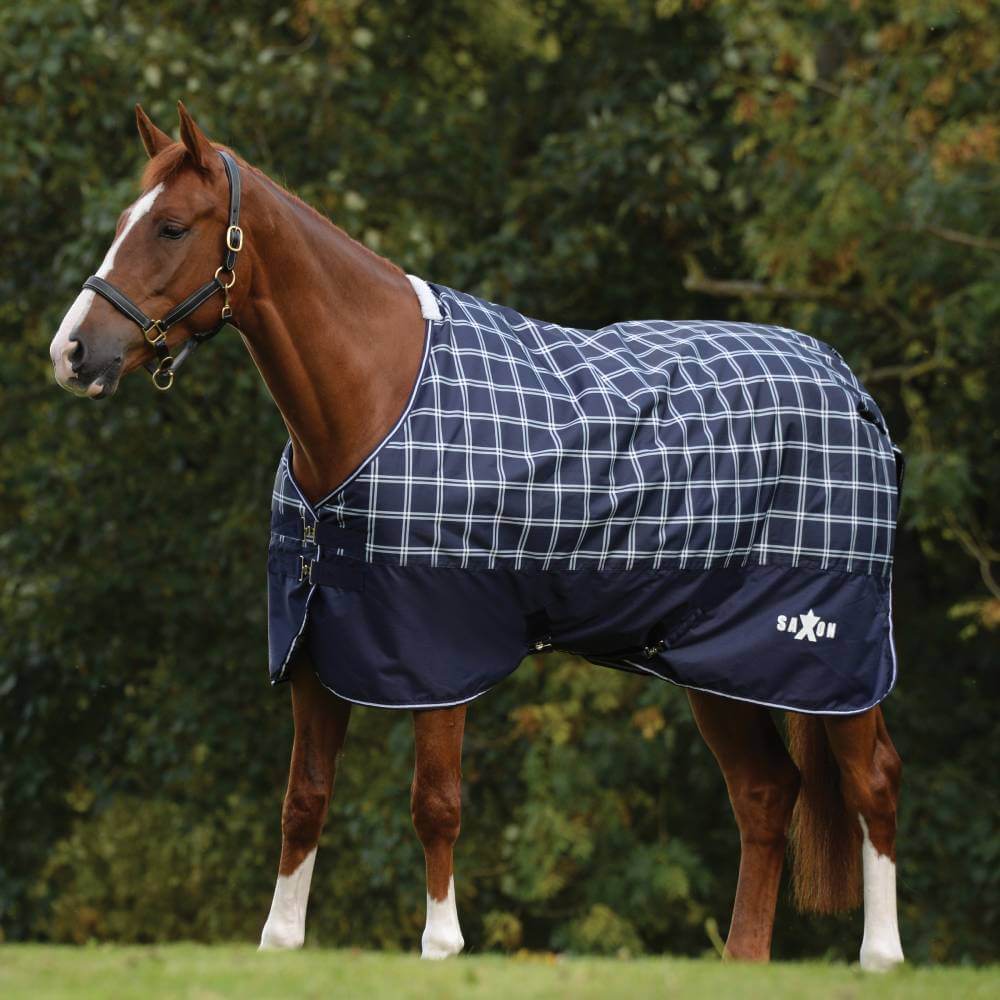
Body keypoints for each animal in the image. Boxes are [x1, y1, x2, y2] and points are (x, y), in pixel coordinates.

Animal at [49, 103, 905, 970]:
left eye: (171, 227)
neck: (376, 394)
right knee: (765, 793)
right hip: (718, 658)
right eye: (123, 223)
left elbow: (436, 802)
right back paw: (743, 959)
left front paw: (441, 946)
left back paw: (881, 959)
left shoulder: (439, 645)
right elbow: (304, 800)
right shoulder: (315, 645)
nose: (72, 352)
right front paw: (280, 944)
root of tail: (848, 388)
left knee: (872, 781)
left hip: (832, 647)